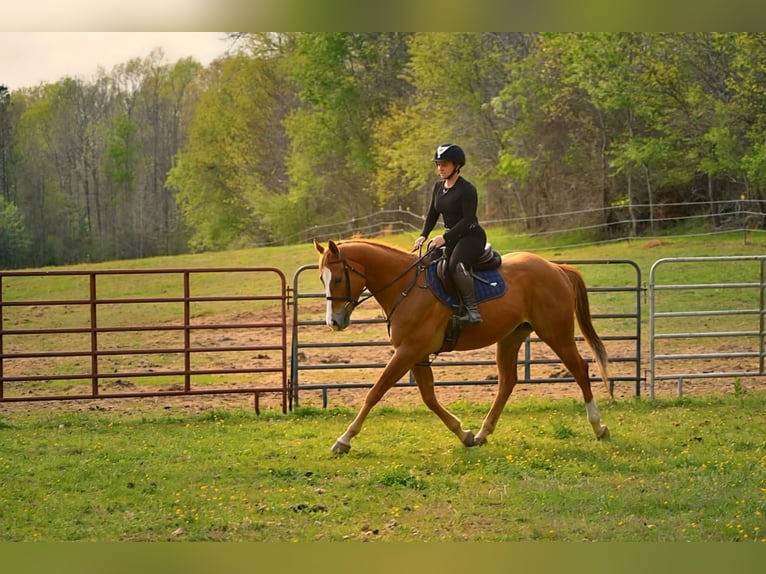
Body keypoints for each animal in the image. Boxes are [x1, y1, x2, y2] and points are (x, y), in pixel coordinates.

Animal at [313, 238, 612, 454]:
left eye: (337, 278)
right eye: (321, 279)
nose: (334, 322)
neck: (406, 287)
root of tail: (556, 267)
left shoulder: (408, 351)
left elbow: (375, 392)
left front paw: (344, 439)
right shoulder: (417, 355)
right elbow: (429, 398)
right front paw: (464, 434)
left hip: (556, 333)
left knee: (580, 369)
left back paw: (598, 427)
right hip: (511, 337)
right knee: (507, 382)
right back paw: (482, 433)